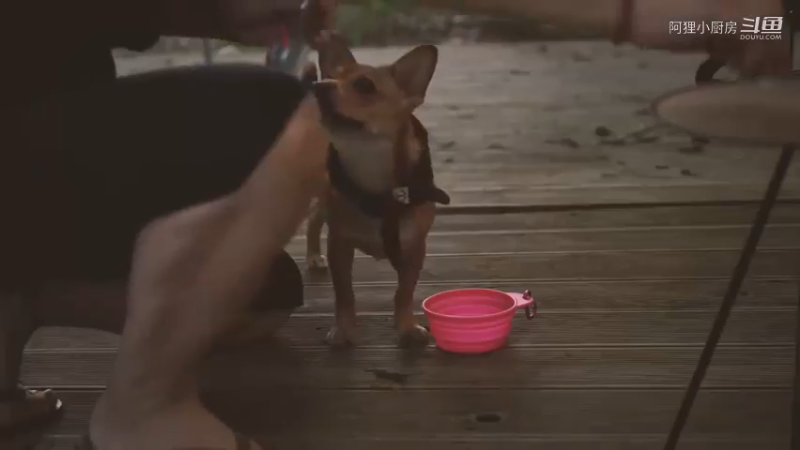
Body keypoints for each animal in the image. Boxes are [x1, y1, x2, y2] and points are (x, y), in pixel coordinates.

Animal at [304, 37, 446, 348]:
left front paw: (406, 328)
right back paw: (312, 256)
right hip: (321, 192)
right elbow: (344, 293)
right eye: (331, 77)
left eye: (364, 86)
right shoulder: (340, 244)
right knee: (313, 221)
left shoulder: (415, 249)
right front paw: (343, 330)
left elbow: (404, 292)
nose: (318, 86)